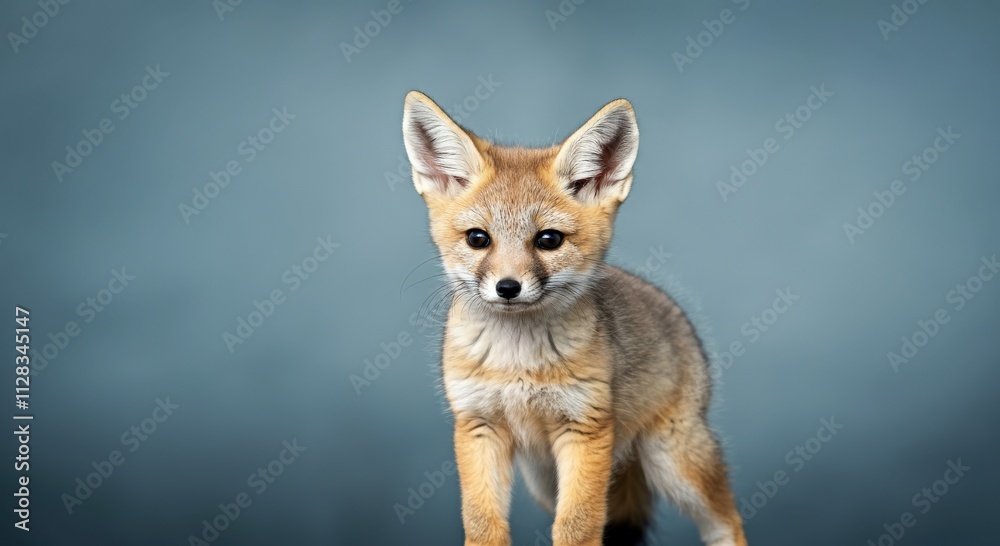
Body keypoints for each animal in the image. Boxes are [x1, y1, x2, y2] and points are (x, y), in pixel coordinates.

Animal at [401, 91, 748, 546]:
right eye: (478, 238)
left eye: (548, 240)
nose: (507, 287)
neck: (516, 362)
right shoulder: (478, 425)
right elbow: (482, 524)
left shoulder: (585, 428)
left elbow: (577, 528)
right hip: (544, 478)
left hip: (673, 461)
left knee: (727, 520)